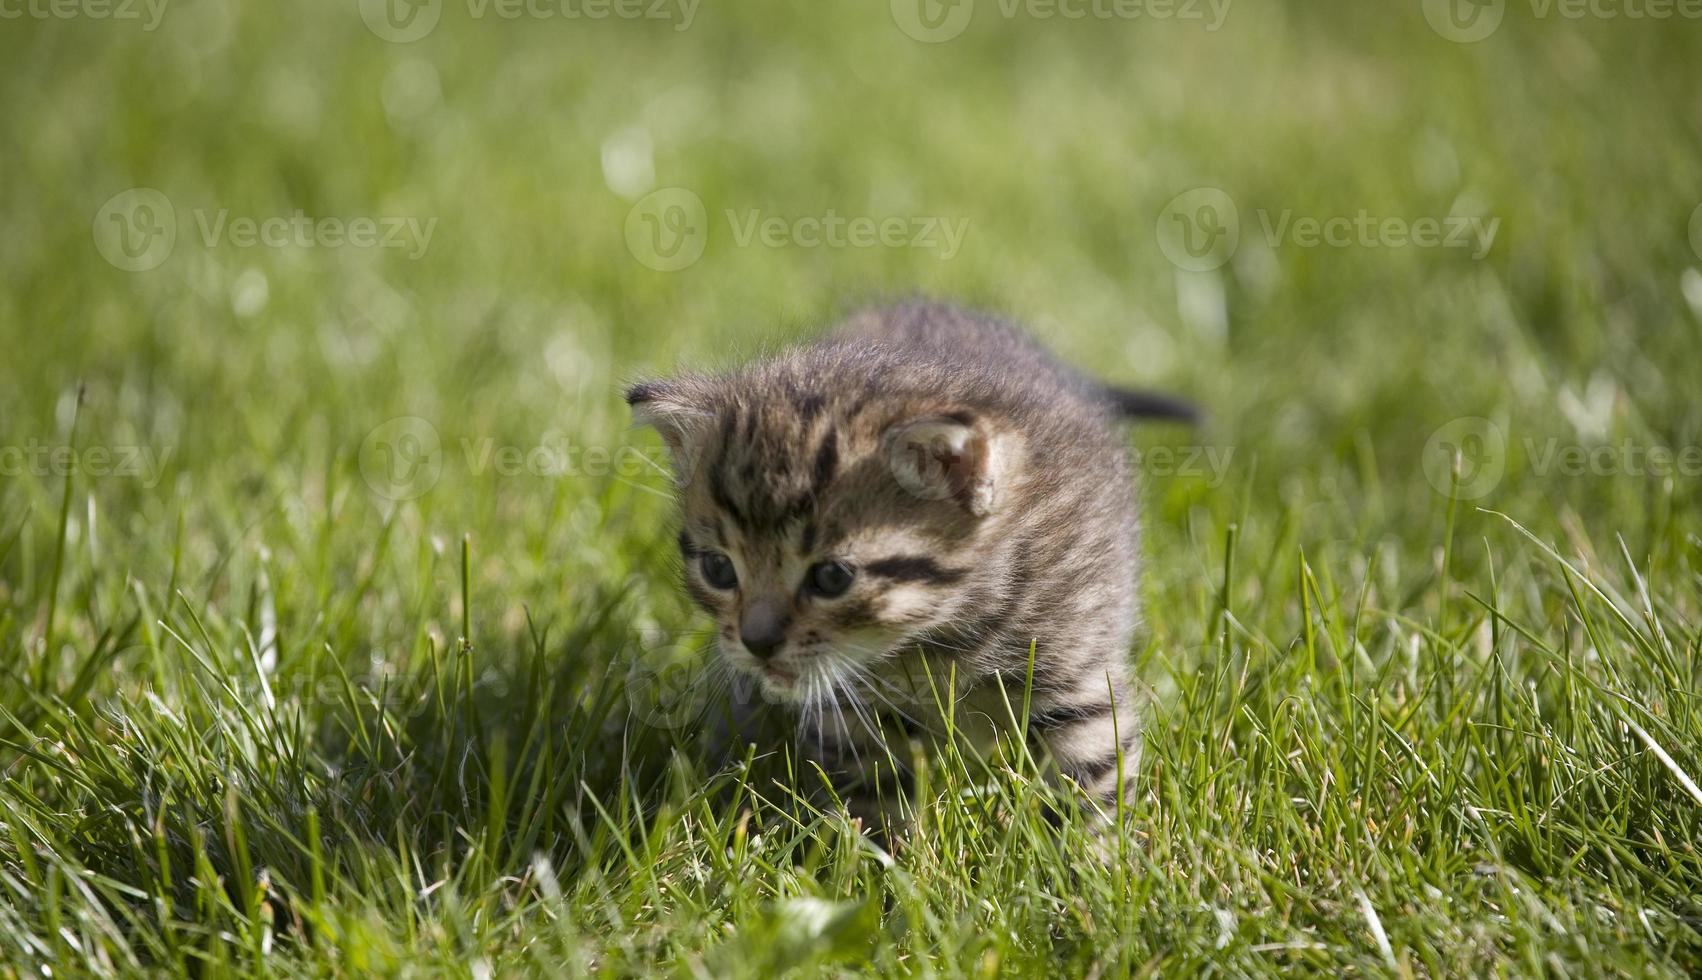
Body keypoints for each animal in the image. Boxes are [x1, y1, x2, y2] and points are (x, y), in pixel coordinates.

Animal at [629, 302, 1198, 816]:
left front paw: (1095, 860)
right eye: (719, 569)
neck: (938, 638)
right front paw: (875, 857)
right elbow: (871, 788)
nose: (757, 642)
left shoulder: (1074, 668)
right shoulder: (850, 705)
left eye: (831, 577)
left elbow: (1094, 778)